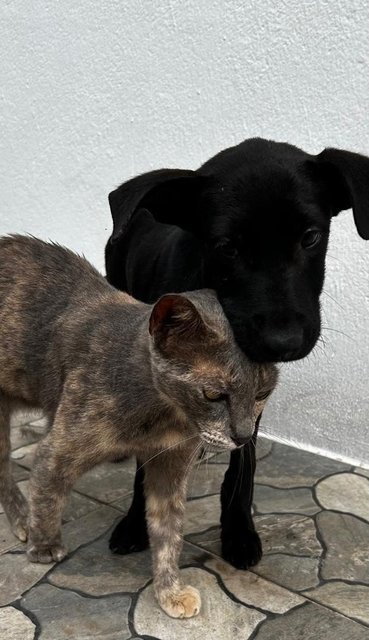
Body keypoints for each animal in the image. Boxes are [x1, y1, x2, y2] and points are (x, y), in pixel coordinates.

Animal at [0, 235, 276, 616]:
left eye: (263, 392)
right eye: (214, 394)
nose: (244, 435)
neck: (162, 418)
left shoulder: (170, 466)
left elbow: (168, 532)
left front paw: (170, 592)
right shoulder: (58, 450)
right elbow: (47, 493)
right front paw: (43, 546)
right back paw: (21, 520)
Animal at [105, 138, 368, 568]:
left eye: (311, 237)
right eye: (227, 248)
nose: (284, 342)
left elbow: (243, 465)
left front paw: (239, 530)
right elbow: (147, 460)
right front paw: (134, 524)